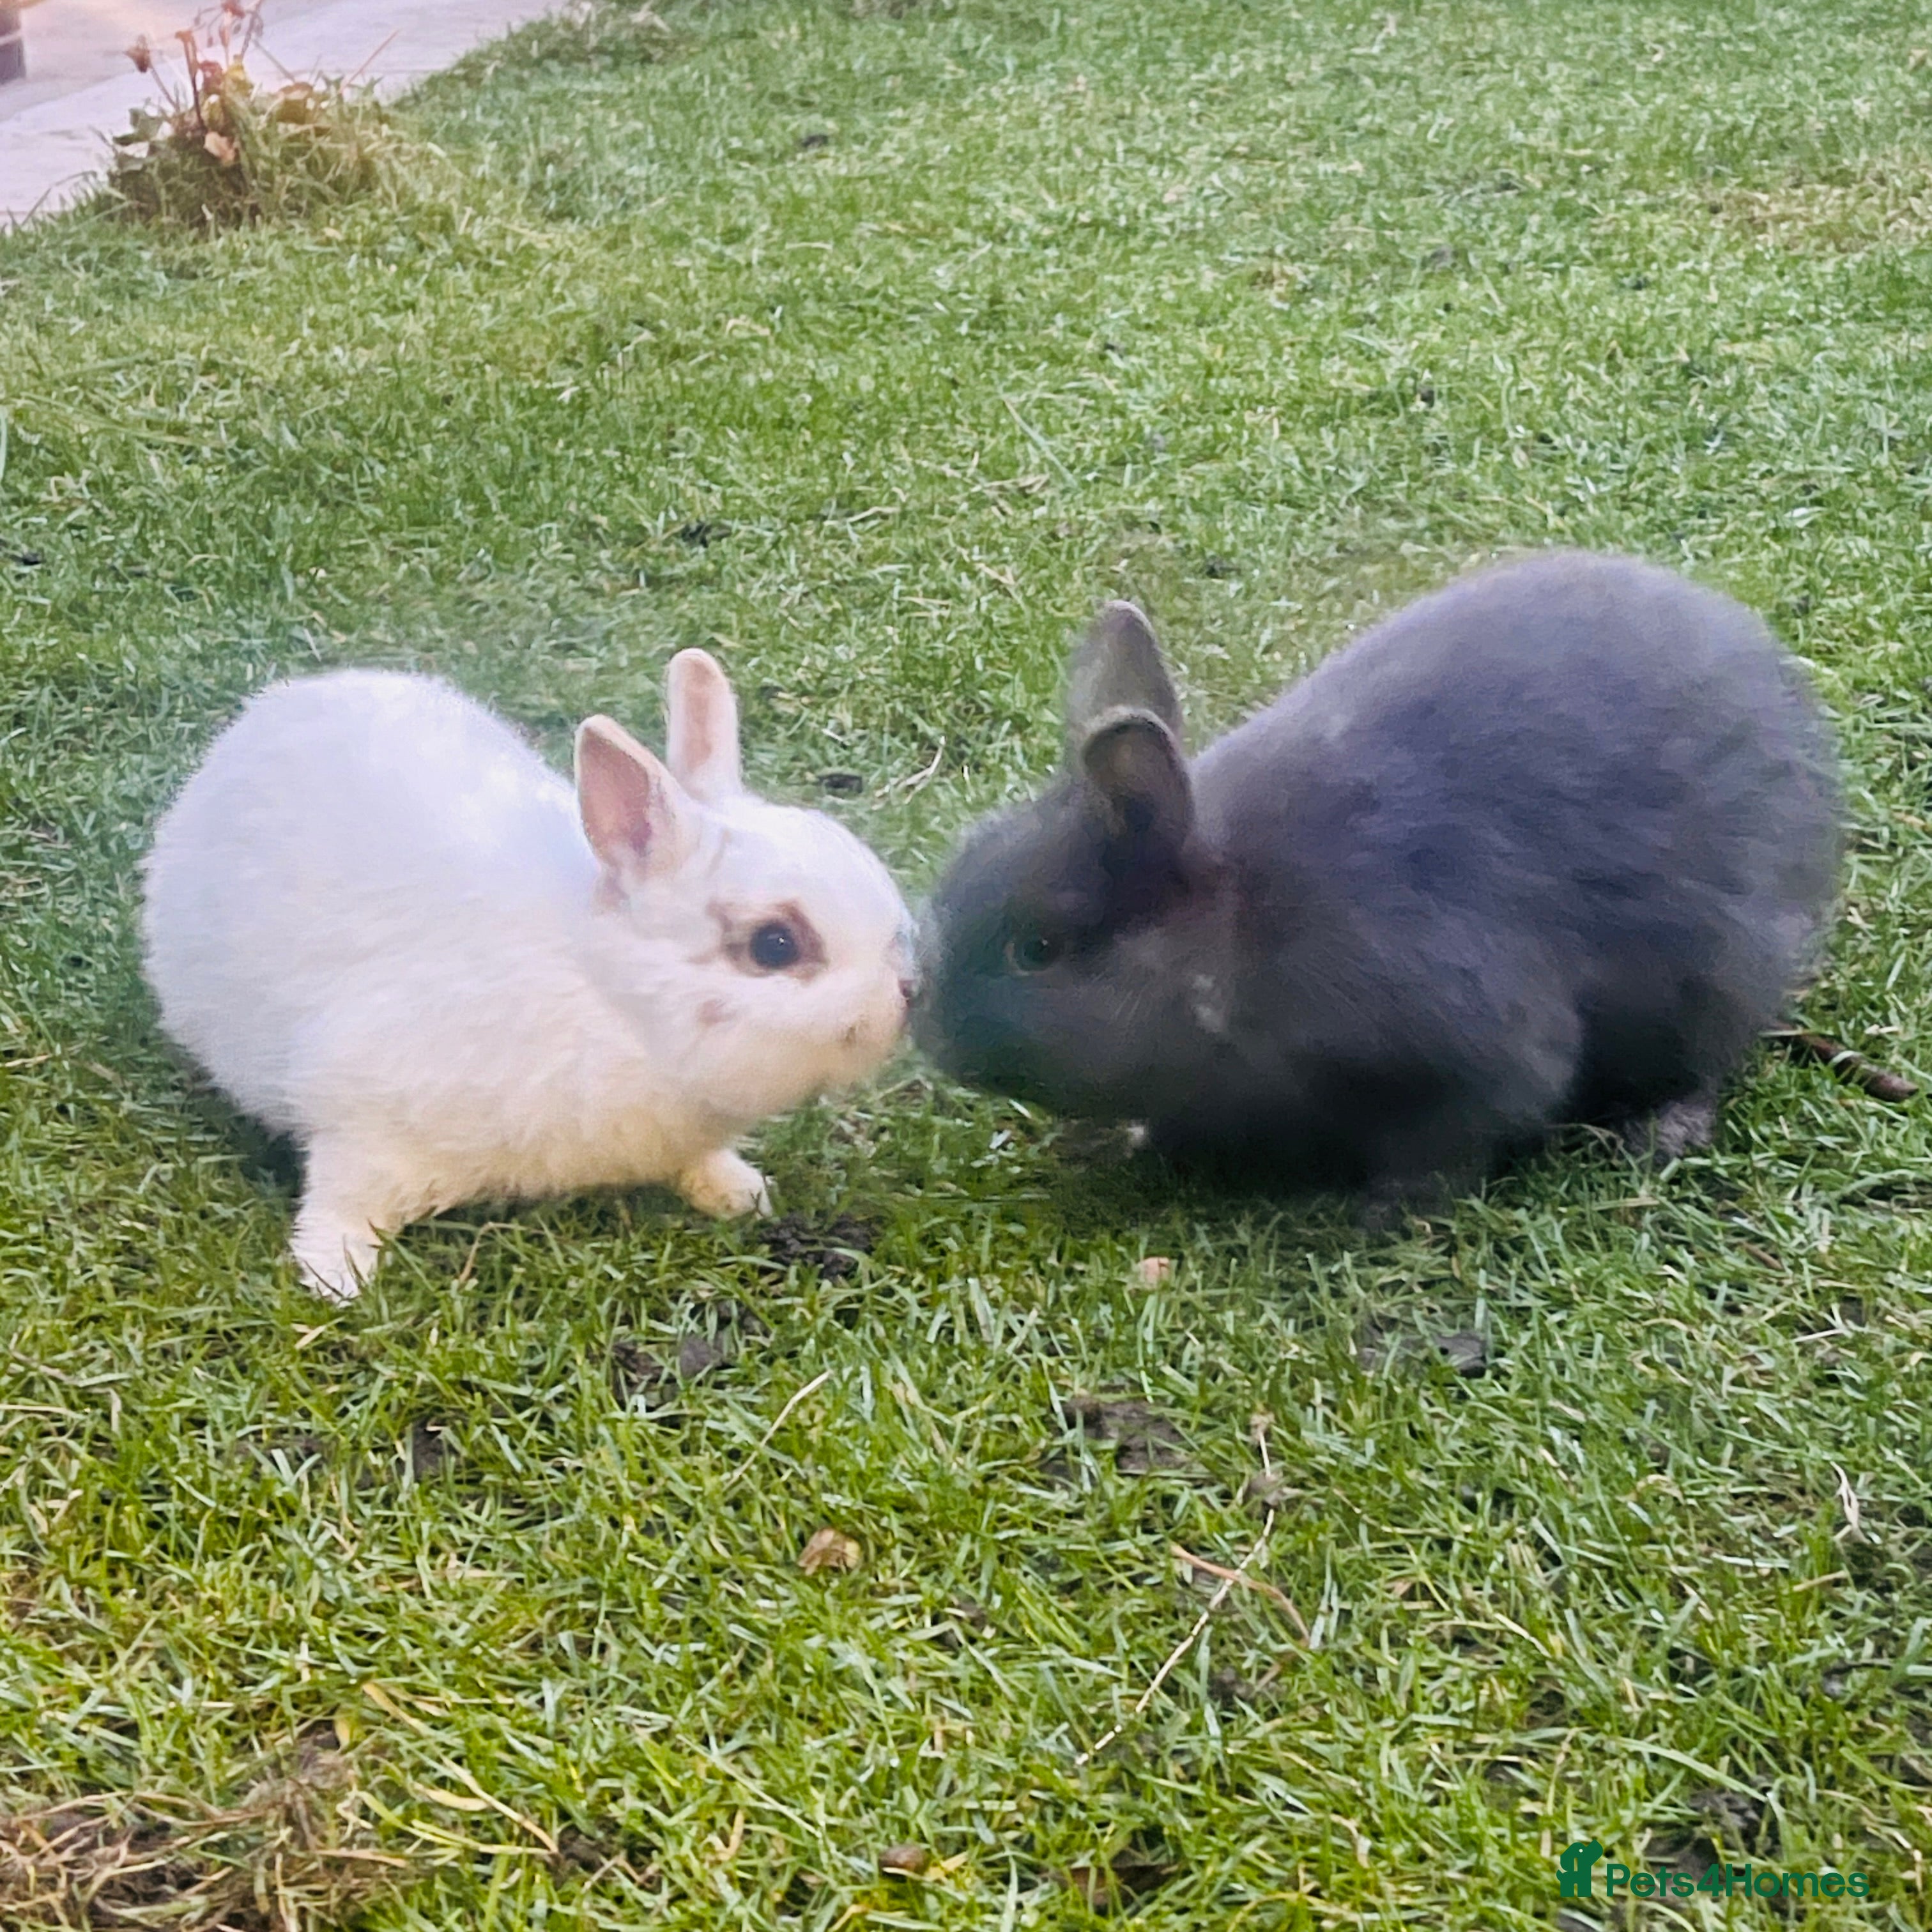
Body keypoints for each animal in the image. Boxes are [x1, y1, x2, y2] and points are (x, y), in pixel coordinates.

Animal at [143, 651, 915, 1299]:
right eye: (775, 945)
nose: (909, 992)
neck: (614, 1005)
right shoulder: (364, 1123)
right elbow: (342, 1201)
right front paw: (336, 1278)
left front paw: (740, 1195)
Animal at [915, 551, 1841, 1222]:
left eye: (1039, 948)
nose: (927, 1026)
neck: (1235, 934)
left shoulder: (1468, 1043)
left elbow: (1469, 1127)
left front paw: (1386, 1210)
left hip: (1716, 973)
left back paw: (1663, 1129)